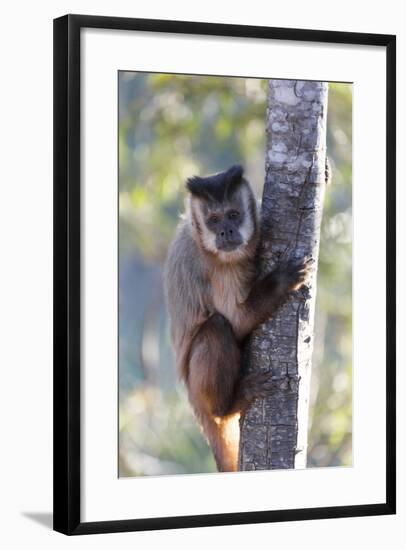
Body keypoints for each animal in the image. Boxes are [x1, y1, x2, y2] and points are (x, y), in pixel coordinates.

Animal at [163, 165, 310, 474]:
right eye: (213, 220)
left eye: (233, 215)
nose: (226, 231)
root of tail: (192, 399)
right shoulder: (217, 267)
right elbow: (238, 320)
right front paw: (280, 282)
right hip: (199, 389)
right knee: (217, 327)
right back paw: (228, 405)